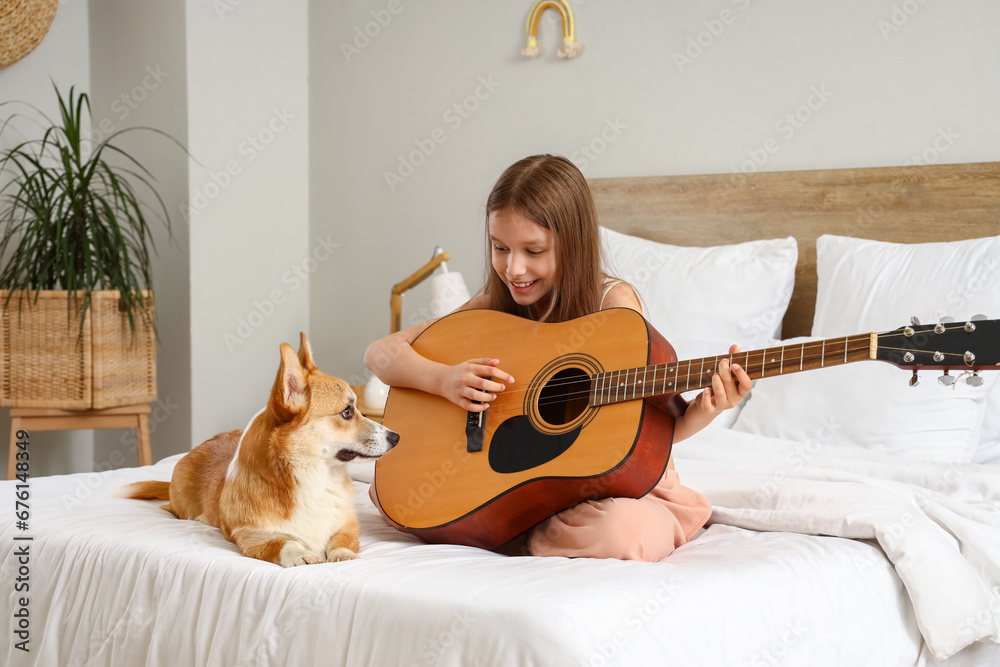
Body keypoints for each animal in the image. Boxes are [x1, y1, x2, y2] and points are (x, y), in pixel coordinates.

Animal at [127, 332, 400, 568]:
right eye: (347, 412)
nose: (396, 437)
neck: (314, 477)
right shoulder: (251, 535)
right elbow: (283, 543)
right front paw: (302, 554)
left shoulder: (346, 524)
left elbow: (342, 541)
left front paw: (343, 555)